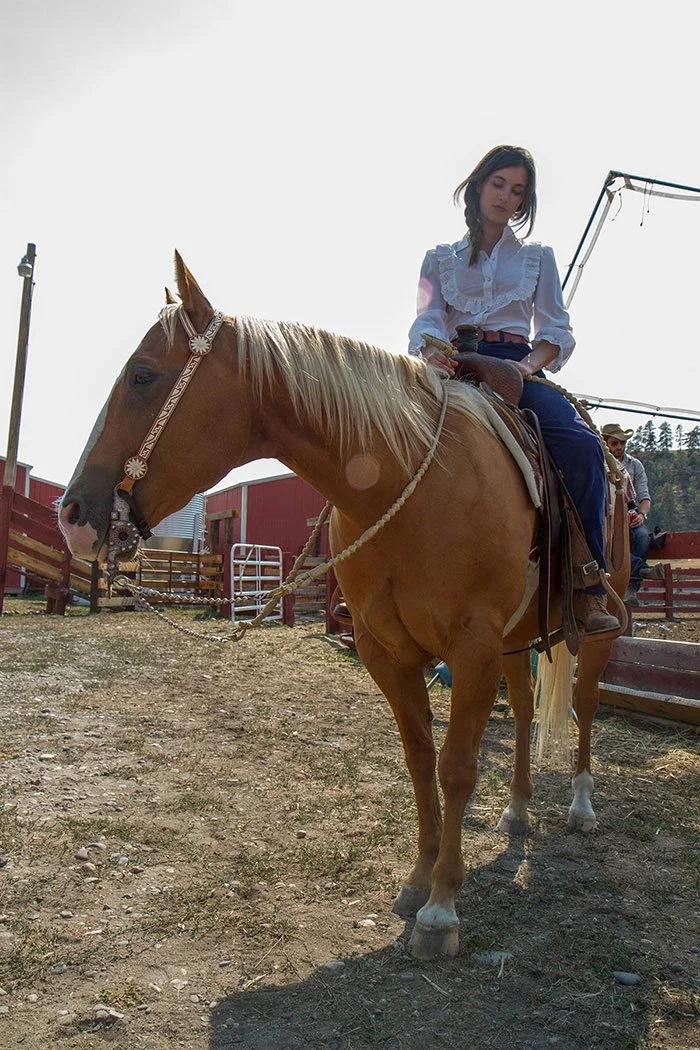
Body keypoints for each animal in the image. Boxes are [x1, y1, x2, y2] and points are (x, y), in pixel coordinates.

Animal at [59, 253, 629, 961]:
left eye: (142, 375)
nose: (73, 516)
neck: (412, 478)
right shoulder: (389, 651)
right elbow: (420, 759)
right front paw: (418, 882)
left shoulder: (469, 645)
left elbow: (458, 767)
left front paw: (441, 910)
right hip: (513, 640)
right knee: (525, 709)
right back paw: (519, 810)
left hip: (593, 630)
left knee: (584, 705)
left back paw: (580, 806)